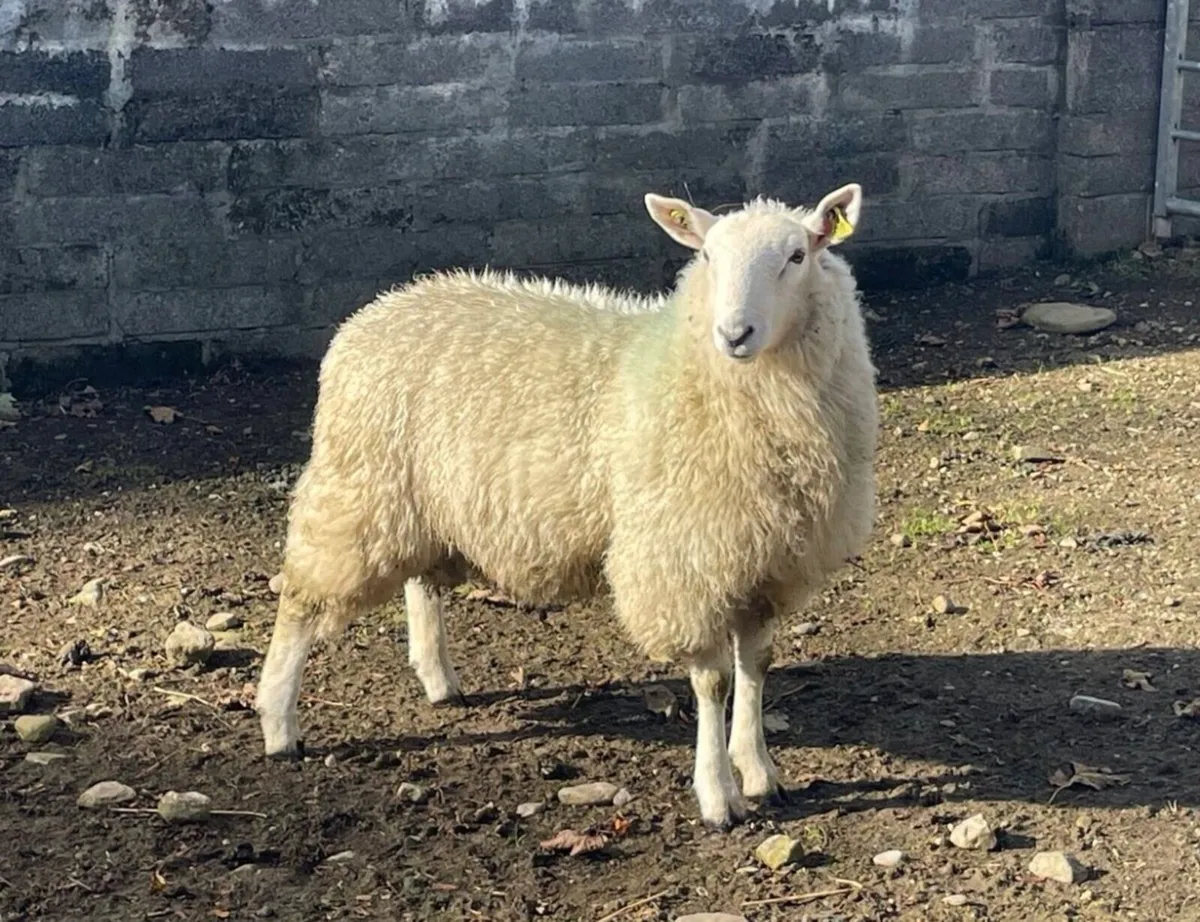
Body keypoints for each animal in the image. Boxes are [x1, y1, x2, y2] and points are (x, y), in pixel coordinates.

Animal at [254, 182, 879, 829]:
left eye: (797, 256)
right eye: (707, 255)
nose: (734, 334)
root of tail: (378, 310)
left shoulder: (767, 563)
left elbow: (756, 669)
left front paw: (759, 771)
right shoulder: (683, 560)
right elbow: (713, 684)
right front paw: (717, 795)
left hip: (424, 500)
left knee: (420, 583)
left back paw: (439, 681)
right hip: (357, 489)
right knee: (299, 601)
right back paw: (279, 724)